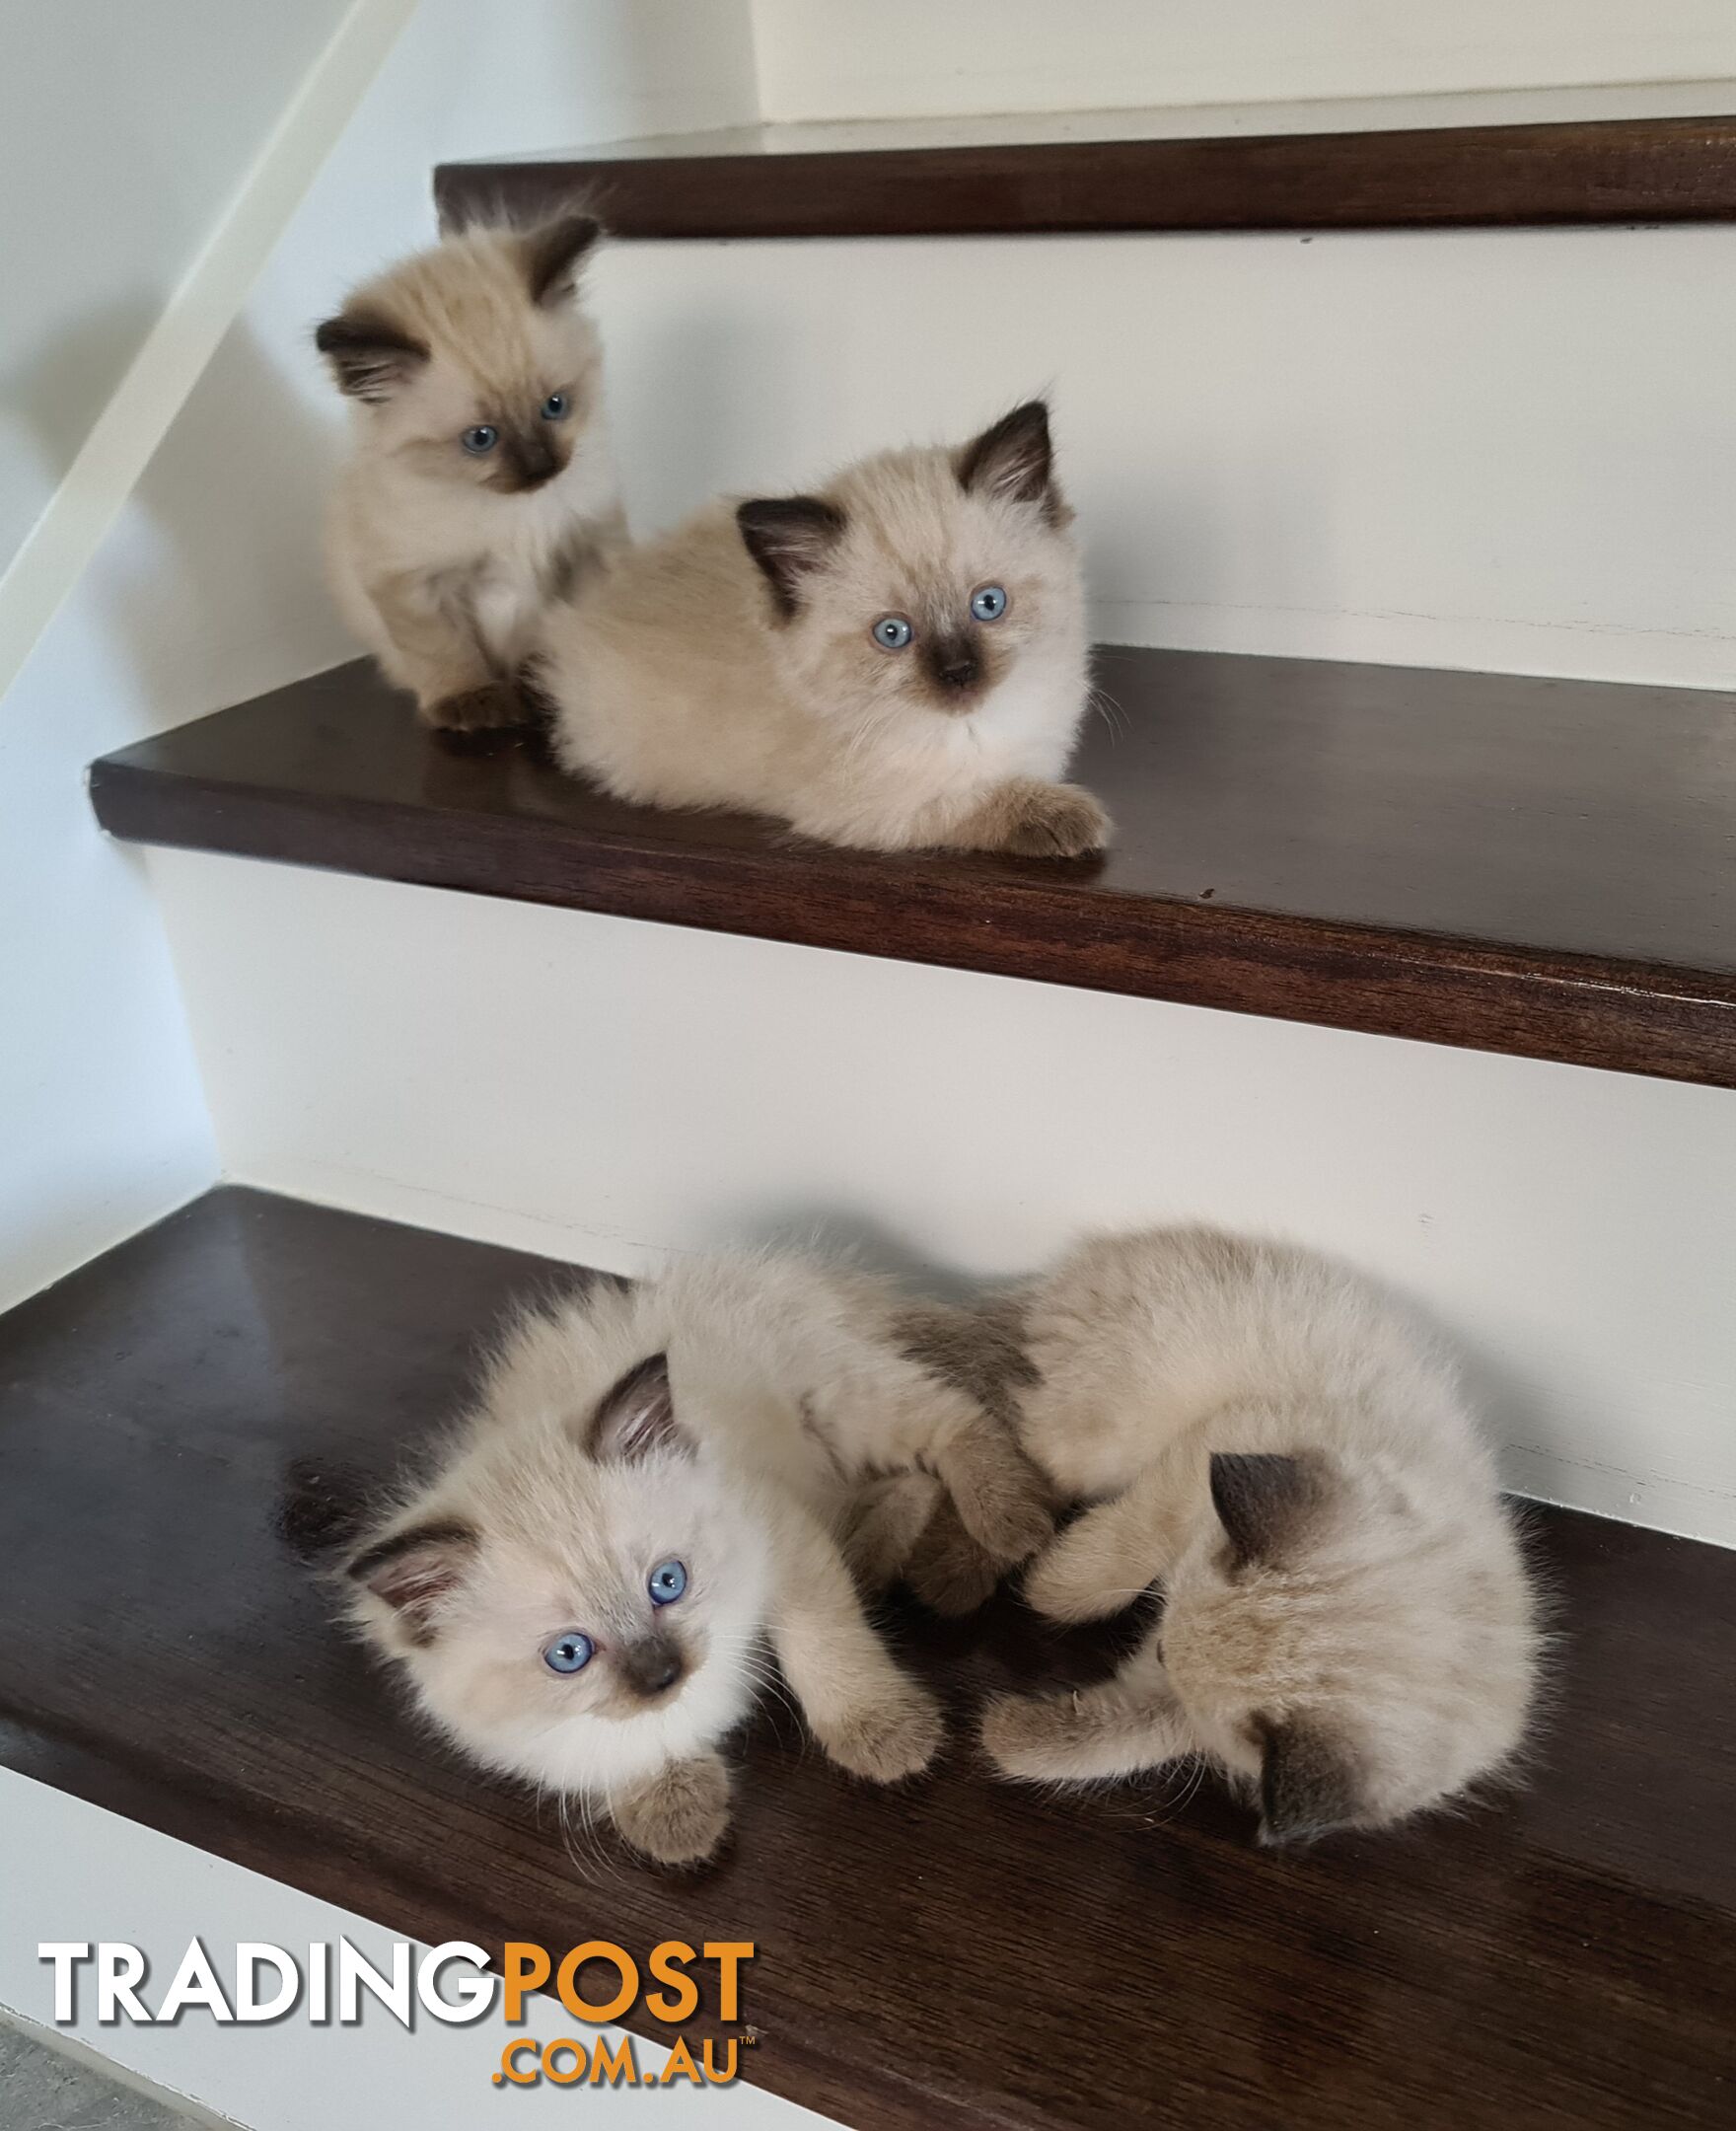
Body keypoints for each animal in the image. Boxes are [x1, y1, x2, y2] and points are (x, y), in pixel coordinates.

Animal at [315, 213, 625, 737]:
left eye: (554, 406)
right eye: (480, 439)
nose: (542, 468)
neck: (515, 515)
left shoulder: (587, 548)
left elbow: (559, 634)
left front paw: (542, 682)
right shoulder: (412, 581)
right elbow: (443, 650)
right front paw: (473, 701)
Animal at [338, 1244, 1044, 1867]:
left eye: (668, 1583)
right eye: (568, 1654)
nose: (663, 1676)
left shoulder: (781, 1535)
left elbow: (828, 1648)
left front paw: (884, 1736)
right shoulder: (532, 1735)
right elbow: (617, 1753)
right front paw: (676, 1815)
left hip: (842, 1406)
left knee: (958, 1423)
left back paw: (1010, 1522)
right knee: (910, 1486)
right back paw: (877, 1554)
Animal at [539, 403, 1116, 852]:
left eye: (989, 604)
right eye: (892, 634)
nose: (959, 674)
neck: (976, 727)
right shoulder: (870, 806)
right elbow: (978, 800)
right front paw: (1075, 819)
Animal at [979, 1235, 1551, 1849]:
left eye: (1164, 1654)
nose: (1160, 1650)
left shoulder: (1192, 1713)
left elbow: (1120, 1738)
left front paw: (1002, 1734)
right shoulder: (1206, 1453)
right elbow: (1128, 1549)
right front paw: (1049, 1589)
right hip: (1089, 1442)